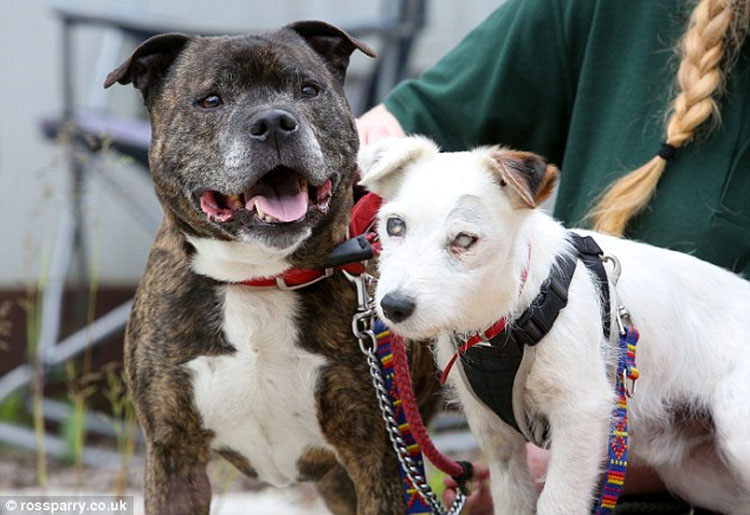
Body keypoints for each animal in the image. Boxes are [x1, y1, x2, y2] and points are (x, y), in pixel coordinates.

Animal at [358, 137, 750, 515]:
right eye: (395, 225)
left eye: (465, 239)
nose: (393, 306)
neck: (507, 318)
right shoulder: (495, 433)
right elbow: (514, 500)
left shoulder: (582, 412)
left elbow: (558, 502)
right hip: (700, 475)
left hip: (736, 434)